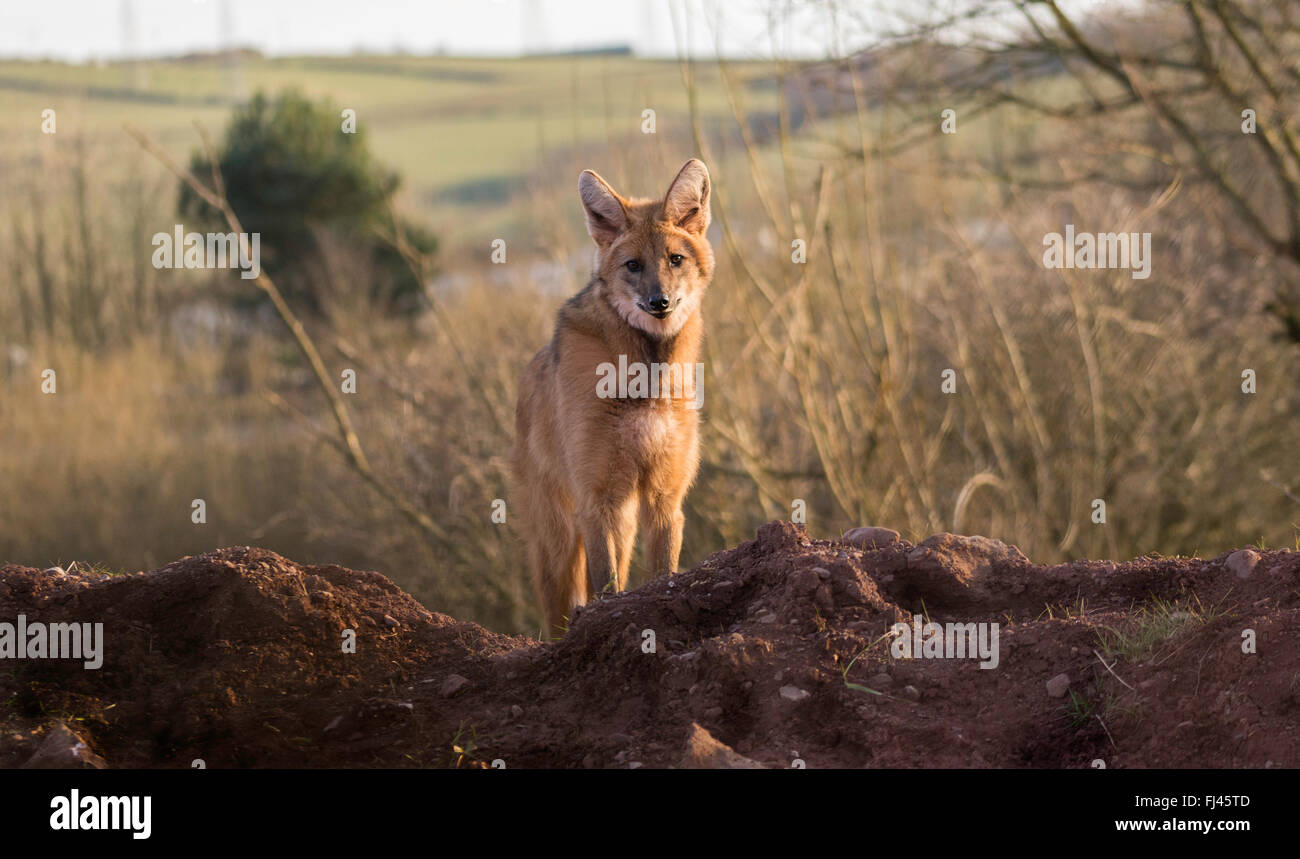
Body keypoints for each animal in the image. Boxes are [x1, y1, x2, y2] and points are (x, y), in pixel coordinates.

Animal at [509, 159, 712, 636]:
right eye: (633, 265)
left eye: (675, 259)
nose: (660, 302)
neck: (646, 375)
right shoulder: (595, 497)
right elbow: (607, 587)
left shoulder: (663, 496)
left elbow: (662, 573)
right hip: (561, 538)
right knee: (559, 610)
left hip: (622, 519)